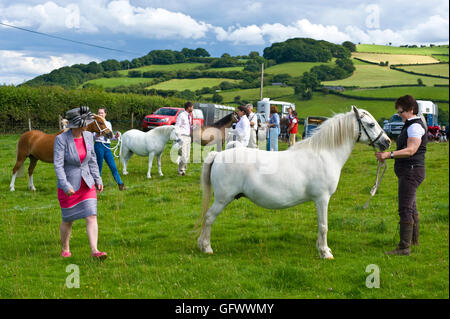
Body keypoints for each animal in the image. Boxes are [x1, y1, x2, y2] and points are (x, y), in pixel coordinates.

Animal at [199, 107, 392, 260]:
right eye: (371, 125)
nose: (387, 141)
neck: (324, 154)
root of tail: (218, 155)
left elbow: (320, 225)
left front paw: (322, 248)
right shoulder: (322, 198)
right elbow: (323, 226)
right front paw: (325, 253)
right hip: (222, 199)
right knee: (209, 218)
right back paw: (206, 247)